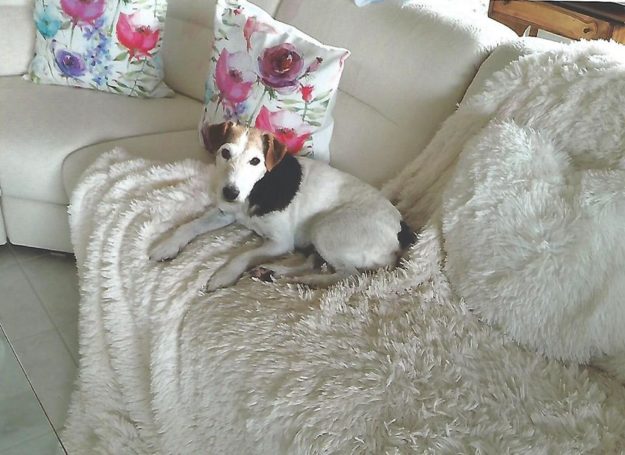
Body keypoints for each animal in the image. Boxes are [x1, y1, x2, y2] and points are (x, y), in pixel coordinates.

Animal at [149, 121, 416, 291]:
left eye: (255, 161)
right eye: (225, 153)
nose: (230, 193)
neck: (259, 186)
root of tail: (402, 228)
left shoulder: (280, 242)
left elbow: (243, 254)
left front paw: (224, 274)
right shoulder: (225, 213)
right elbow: (189, 226)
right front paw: (168, 245)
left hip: (327, 229)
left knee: (348, 275)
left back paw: (308, 282)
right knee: (315, 263)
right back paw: (272, 272)